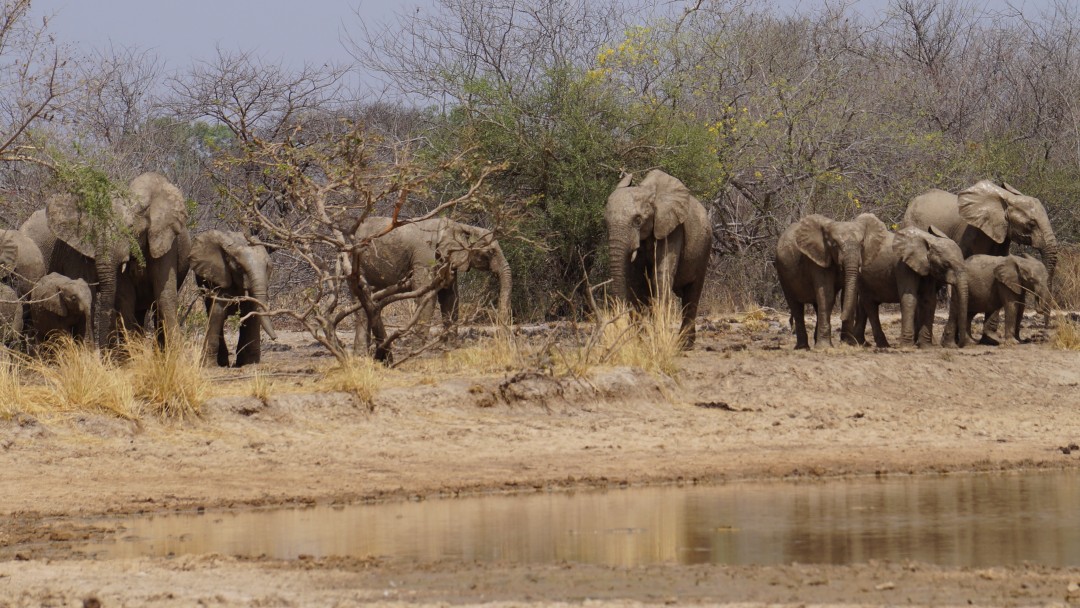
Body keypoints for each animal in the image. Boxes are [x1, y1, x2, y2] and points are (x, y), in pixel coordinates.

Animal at [19, 173, 190, 349]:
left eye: (130, 228)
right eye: (94, 229)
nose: (102, 351)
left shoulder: (166, 241)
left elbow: (165, 295)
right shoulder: (73, 250)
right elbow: (119, 297)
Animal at [192, 232, 280, 367]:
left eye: (268, 267)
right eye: (239, 267)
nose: (275, 338)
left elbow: (252, 313)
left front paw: (250, 364)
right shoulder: (221, 276)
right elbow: (217, 313)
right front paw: (209, 366)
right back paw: (223, 363)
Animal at [349, 214, 509, 356]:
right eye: (491, 252)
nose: (500, 339)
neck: (459, 226)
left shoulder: (447, 261)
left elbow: (450, 297)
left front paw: (451, 347)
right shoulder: (424, 256)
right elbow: (426, 295)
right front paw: (418, 349)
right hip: (357, 264)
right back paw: (362, 354)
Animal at [604, 168, 712, 347]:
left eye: (638, 220)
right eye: (605, 222)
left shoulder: (672, 228)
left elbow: (660, 276)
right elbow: (638, 281)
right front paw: (640, 340)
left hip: (704, 249)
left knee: (692, 292)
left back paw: (685, 344)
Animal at [773, 213, 881, 349]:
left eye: (862, 244)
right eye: (835, 245)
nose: (840, 317)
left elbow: (845, 296)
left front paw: (848, 343)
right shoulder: (818, 258)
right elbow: (827, 295)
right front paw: (824, 347)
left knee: (816, 305)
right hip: (782, 273)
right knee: (796, 306)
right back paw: (803, 347)